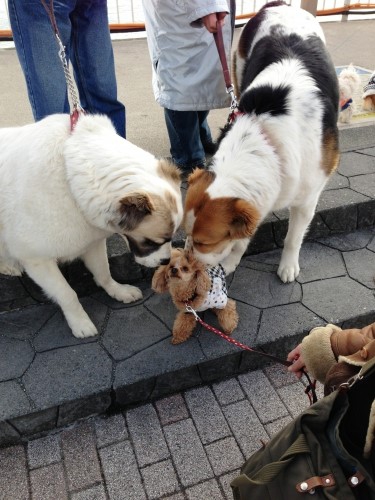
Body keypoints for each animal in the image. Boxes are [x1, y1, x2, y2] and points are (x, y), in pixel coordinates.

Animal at [0, 114, 182, 336]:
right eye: (151, 242)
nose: (166, 262)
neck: (70, 180)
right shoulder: (37, 260)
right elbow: (67, 293)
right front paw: (80, 322)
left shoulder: (91, 241)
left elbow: (103, 273)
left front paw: (118, 291)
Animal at [184, 3, 340, 284]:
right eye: (186, 235)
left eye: (204, 242)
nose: (184, 267)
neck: (264, 137)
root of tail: (278, 5)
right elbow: (242, 238)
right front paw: (233, 260)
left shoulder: (307, 198)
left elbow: (293, 238)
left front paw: (288, 265)